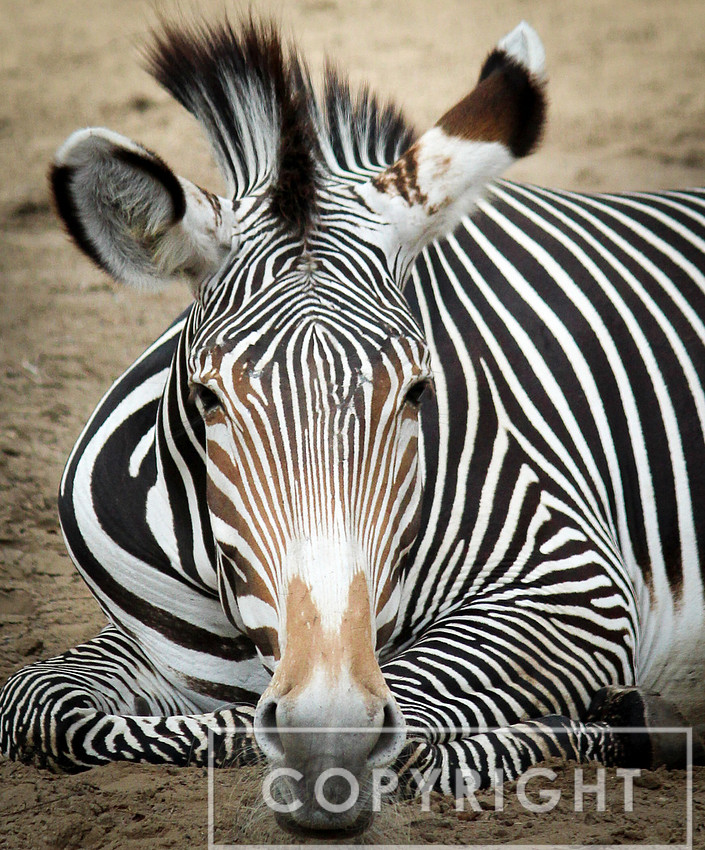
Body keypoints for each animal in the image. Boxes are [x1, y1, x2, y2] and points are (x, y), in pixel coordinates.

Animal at [1, 14, 704, 834]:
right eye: (209, 400)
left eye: (419, 393)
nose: (325, 730)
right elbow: (42, 706)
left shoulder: (573, 579)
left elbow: (411, 717)